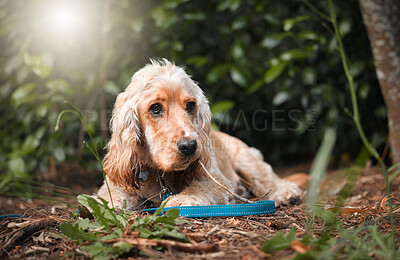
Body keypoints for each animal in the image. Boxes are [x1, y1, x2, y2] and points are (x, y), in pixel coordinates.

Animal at [97, 59, 306, 209]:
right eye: (155, 108)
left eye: (191, 105)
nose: (189, 146)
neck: (160, 174)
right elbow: (109, 194)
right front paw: (102, 204)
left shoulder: (216, 181)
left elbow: (198, 188)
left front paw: (180, 200)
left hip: (247, 159)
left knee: (269, 179)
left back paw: (286, 193)